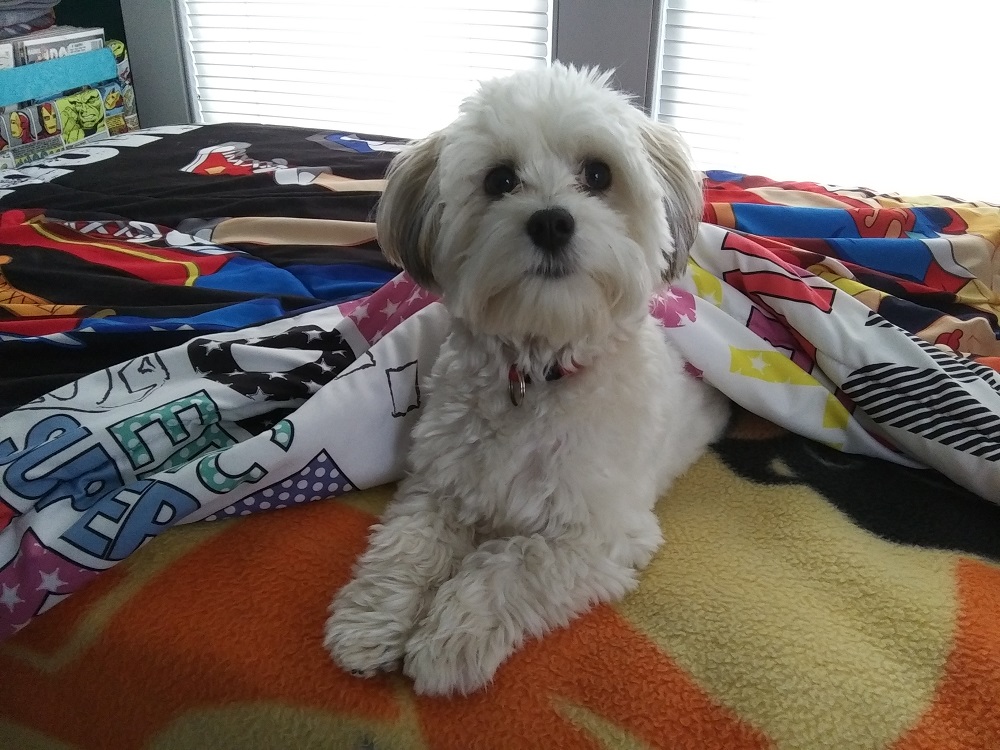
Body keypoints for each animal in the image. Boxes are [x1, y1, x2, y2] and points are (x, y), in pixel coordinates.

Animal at [326, 61, 728, 696]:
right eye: (499, 180)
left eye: (598, 173)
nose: (551, 221)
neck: (538, 369)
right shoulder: (436, 487)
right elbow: (404, 548)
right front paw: (368, 624)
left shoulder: (599, 534)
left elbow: (511, 567)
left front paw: (449, 641)